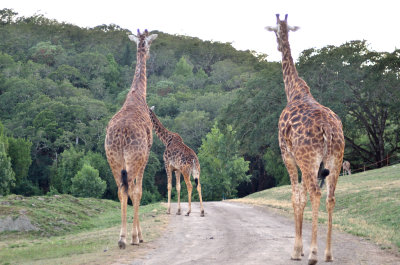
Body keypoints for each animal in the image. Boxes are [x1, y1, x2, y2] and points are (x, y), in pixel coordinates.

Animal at [266, 14, 344, 264]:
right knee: (330, 198)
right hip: (336, 160)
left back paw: (313, 254)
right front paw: (300, 248)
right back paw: (328, 253)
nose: (278, 45)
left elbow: (295, 197)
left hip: (310, 160)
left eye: (275, 31)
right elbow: (300, 195)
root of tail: (327, 128)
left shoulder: (288, 156)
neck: (295, 92)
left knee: (315, 193)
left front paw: (297, 250)